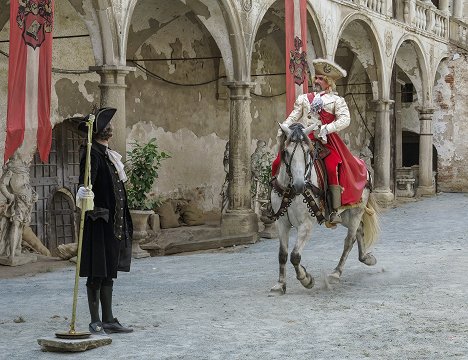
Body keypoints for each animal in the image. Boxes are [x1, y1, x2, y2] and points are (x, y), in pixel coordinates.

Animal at [268, 122, 378, 294]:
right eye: (286, 152)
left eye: (308, 152)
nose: (299, 186)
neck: (291, 190)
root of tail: (363, 167)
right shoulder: (282, 222)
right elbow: (283, 254)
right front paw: (280, 284)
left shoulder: (306, 225)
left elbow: (295, 255)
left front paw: (306, 279)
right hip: (344, 216)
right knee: (359, 229)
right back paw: (366, 258)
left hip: (356, 211)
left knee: (349, 240)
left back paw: (336, 273)